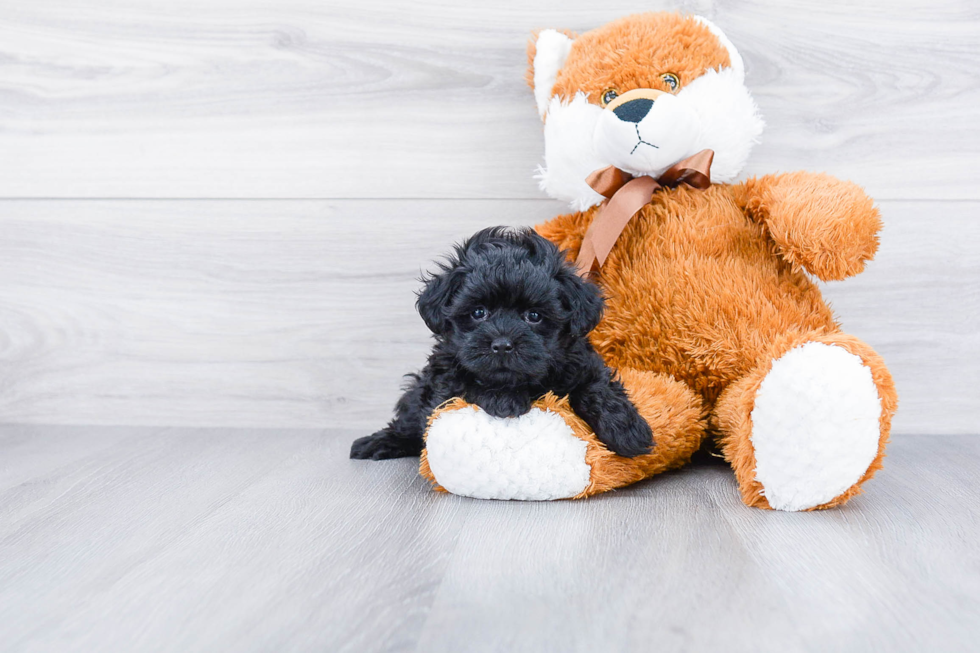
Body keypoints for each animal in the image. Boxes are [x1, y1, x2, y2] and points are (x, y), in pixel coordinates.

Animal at [348, 227, 656, 460]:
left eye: (534, 316)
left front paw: (629, 431)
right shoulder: (445, 378)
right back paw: (378, 442)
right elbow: (470, 385)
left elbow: (597, 388)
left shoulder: (581, 363)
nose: (502, 344)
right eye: (478, 312)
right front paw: (504, 400)